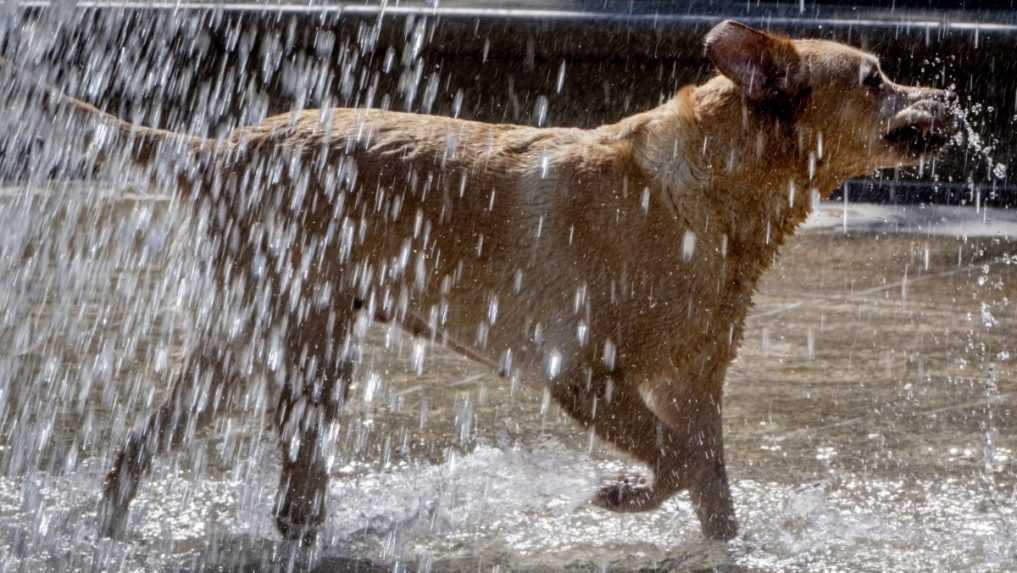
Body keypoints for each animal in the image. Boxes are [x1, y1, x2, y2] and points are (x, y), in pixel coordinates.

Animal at [0, 20, 955, 545]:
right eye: (874, 78)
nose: (945, 99)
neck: (707, 200)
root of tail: (220, 146)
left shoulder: (692, 384)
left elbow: (710, 484)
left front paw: (709, 534)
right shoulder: (585, 372)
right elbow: (678, 462)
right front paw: (622, 494)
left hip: (254, 345)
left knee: (146, 450)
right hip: (298, 341)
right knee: (278, 492)